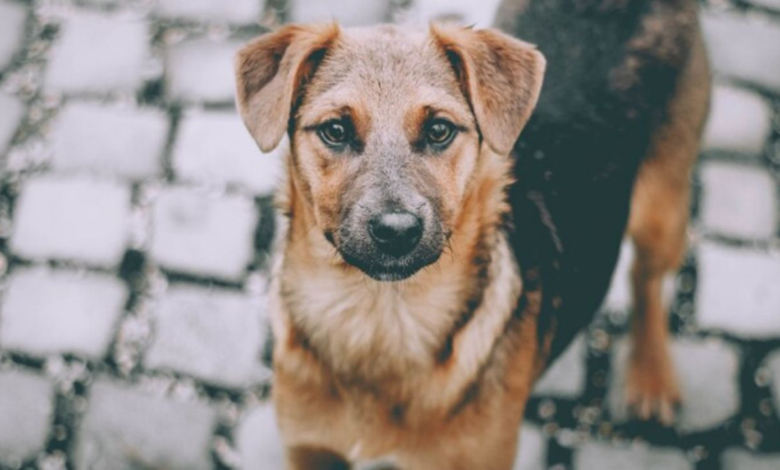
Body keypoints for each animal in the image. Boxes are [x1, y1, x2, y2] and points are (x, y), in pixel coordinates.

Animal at [235, 1, 708, 468]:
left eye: (439, 130)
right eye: (335, 130)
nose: (396, 231)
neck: (381, 322)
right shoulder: (309, 449)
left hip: (662, 209)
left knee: (646, 279)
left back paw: (650, 375)